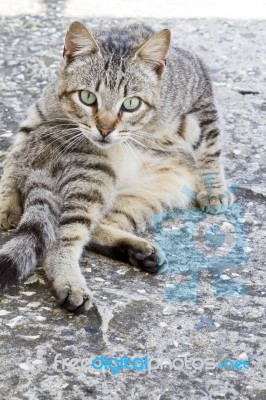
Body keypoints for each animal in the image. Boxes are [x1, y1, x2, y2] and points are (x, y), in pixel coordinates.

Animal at [0, 21, 233, 312]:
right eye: (88, 97)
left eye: (131, 103)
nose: (105, 129)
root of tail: (37, 171)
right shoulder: (41, 113)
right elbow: (12, 154)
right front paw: (7, 199)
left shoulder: (201, 95)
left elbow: (211, 147)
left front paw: (215, 190)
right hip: (93, 177)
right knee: (60, 240)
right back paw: (71, 283)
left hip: (145, 197)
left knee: (95, 230)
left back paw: (138, 251)